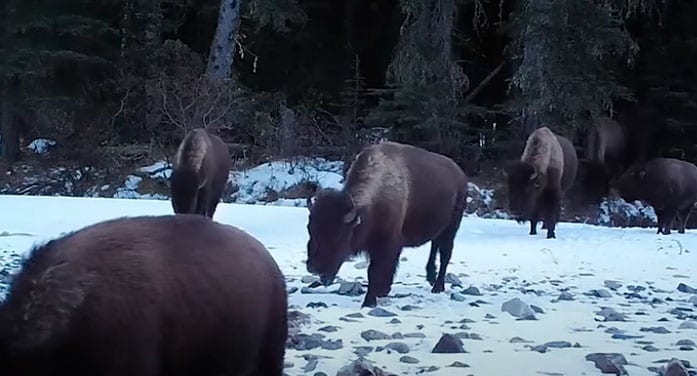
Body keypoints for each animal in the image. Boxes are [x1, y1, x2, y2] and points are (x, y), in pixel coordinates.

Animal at [304, 141, 468, 308]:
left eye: (338, 235)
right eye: (310, 229)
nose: (313, 267)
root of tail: (461, 176)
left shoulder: (387, 245)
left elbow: (375, 272)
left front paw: (369, 301)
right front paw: (382, 293)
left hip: (451, 228)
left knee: (445, 255)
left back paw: (438, 287)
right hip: (439, 230)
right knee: (435, 247)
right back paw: (431, 277)